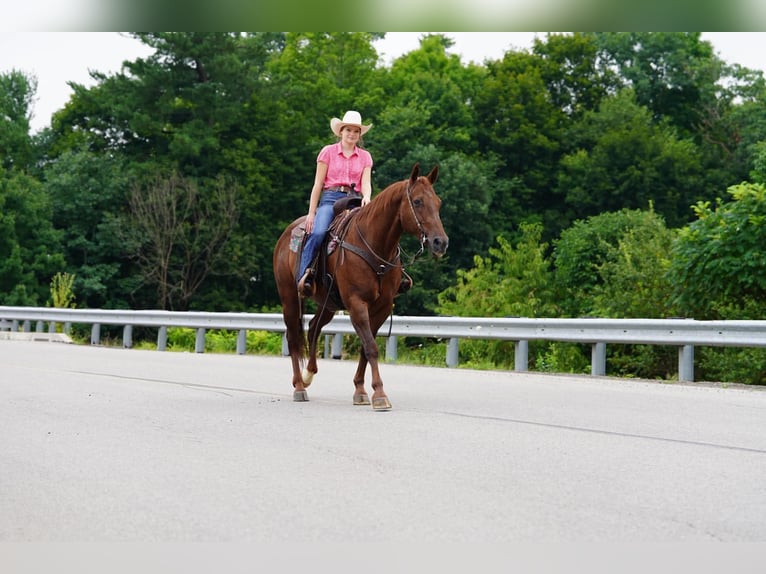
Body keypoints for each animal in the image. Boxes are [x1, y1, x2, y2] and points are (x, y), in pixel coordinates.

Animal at [272, 163, 449, 410]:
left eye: (438, 202)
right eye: (417, 201)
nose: (440, 242)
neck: (374, 245)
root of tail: (286, 234)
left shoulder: (382, 306)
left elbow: (367, 347)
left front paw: (361, 390)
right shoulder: (357, 303)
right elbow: (371, 346)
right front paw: (380, 394)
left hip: (328, 302)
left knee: (315, 327)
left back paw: (309, 373)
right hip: (289, 297)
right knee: (293, 338)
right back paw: (299, 386)